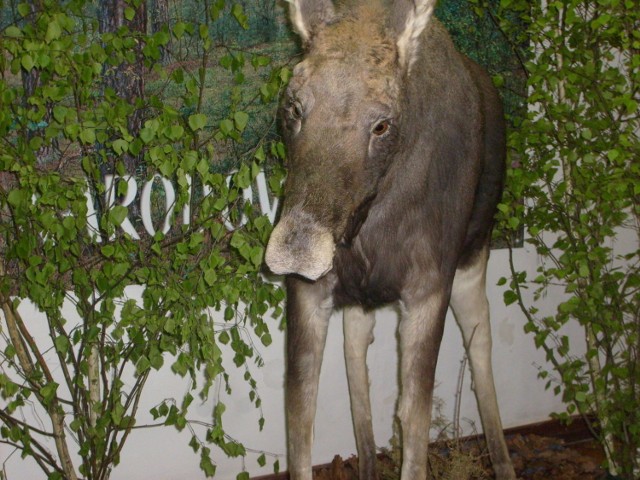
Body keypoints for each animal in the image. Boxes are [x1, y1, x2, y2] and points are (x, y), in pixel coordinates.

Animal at [264, 0, 516, 480]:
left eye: (382, 125)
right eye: (294, 106)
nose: (297, 250)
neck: (366, 227)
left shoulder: (429, 289)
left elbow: (414, 420)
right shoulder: (309, 293)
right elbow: (299, 420)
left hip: (473, 258)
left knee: (481, 343)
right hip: (360, 300)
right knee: (355, 353)